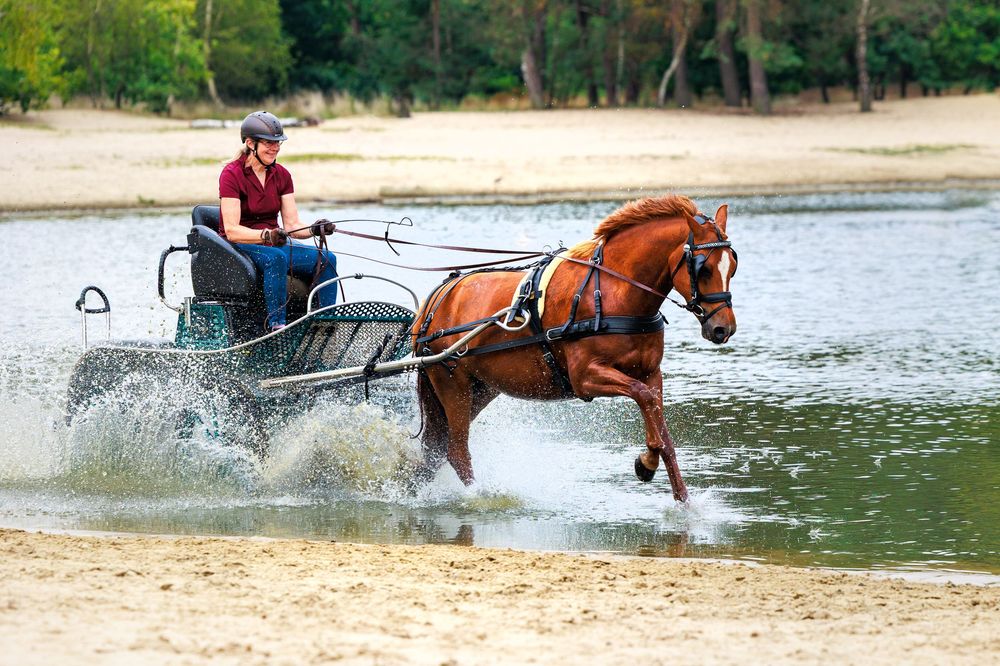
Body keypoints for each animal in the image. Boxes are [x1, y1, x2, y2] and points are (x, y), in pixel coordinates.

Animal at [411, 195, 737, 502]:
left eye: (732, 266)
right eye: (704, 268)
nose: (724, 328)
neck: (612, 291)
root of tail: (436, 300)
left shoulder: (650, 373)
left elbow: (662, 432)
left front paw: (680, 495)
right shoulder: (585, 378)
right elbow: (642, 397)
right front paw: (647, 462)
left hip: (479, 389)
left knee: (435, 452)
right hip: (453, 385)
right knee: (456, 452)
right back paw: (479, 497)